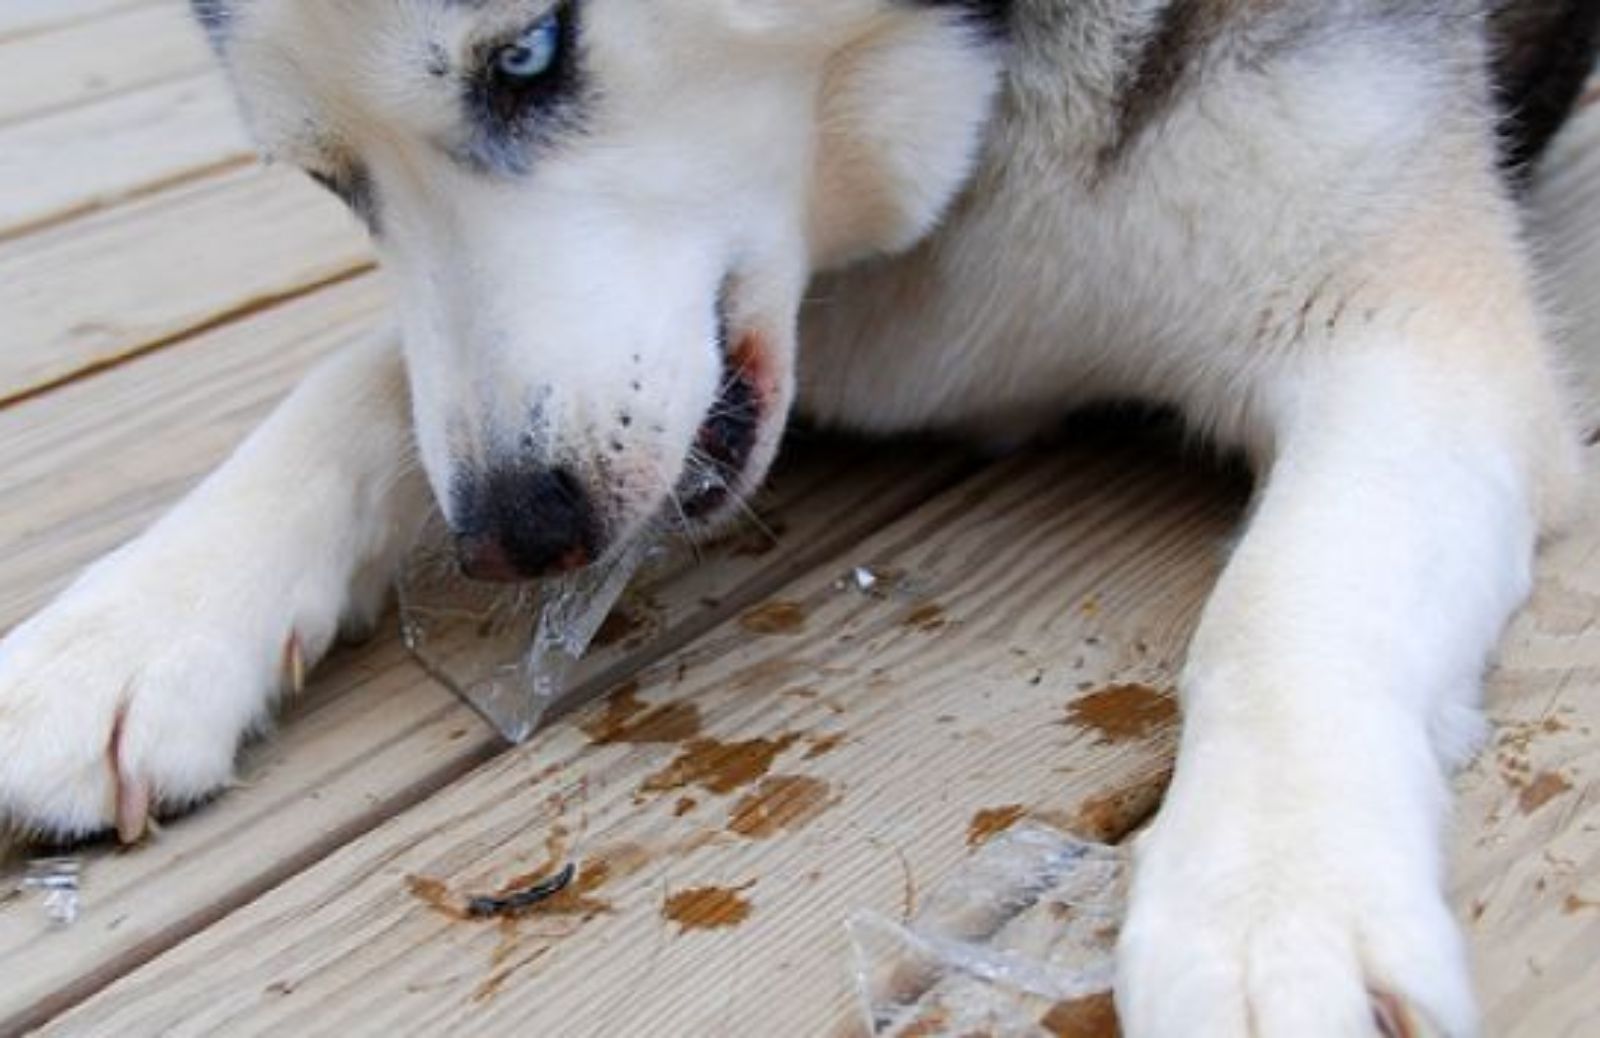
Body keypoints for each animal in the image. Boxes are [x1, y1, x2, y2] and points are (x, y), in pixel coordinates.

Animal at [3, 0, 1600, 1030]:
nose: (511, 531)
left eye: (530, 55)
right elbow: (363, 382)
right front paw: (131, 628)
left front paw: (1275, 900)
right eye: (333, 177)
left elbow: (1290, 599)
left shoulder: (1402, 330)